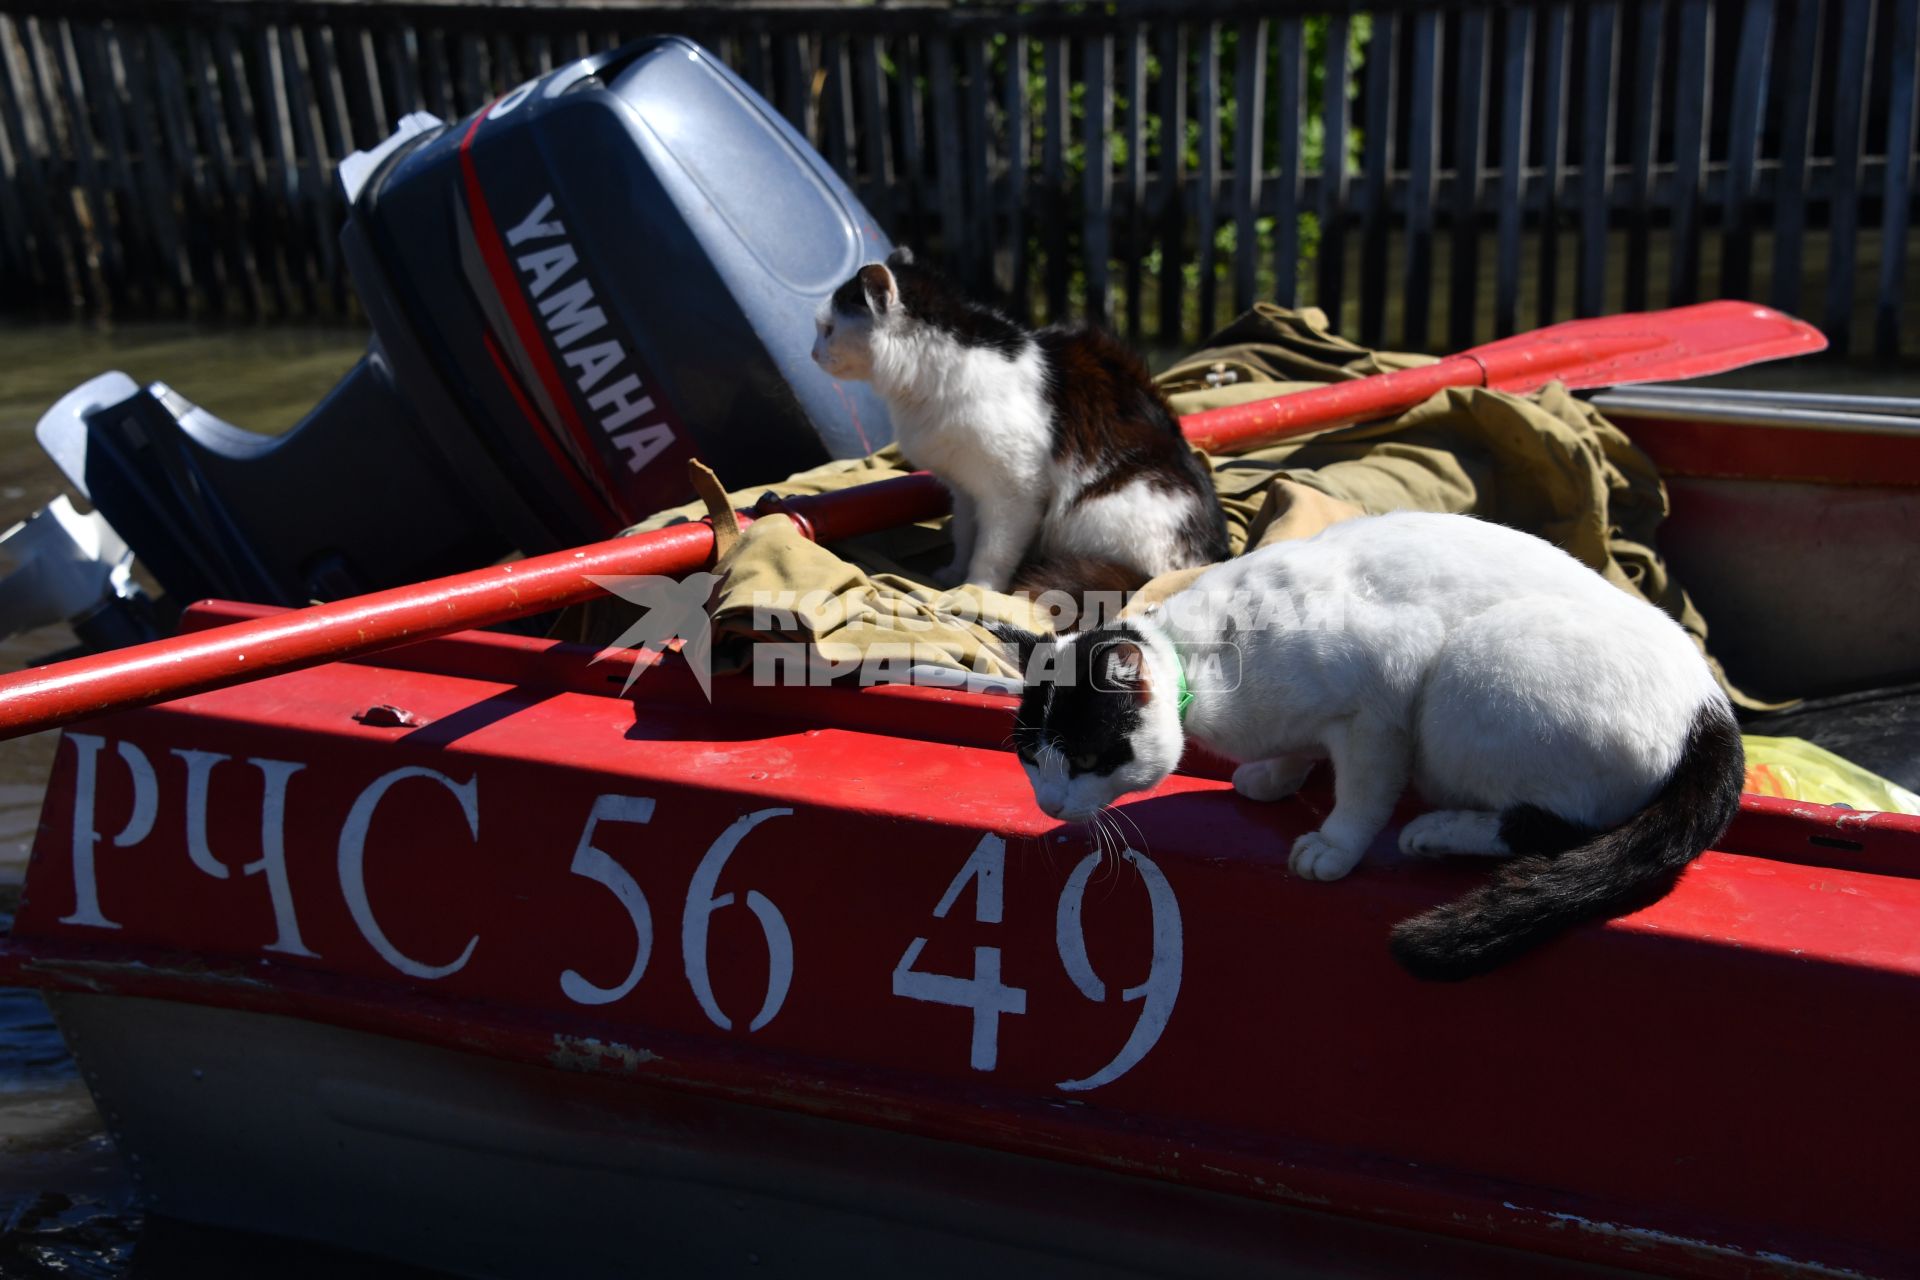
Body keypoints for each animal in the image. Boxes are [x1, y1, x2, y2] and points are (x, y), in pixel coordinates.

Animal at [810, 253, 1228, 598]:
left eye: (827, 329)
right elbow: (965, 536)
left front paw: (977, 589)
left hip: (1103, 509)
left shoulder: (1014, 492)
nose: (812, 354)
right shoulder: (964, 488)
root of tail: (1202, 565)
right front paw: (953, 575)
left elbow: (992, 551)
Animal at [998, 510, 1751, 982]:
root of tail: (1712, 709)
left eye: (1087, 761)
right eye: (1032, 761)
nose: (1050, 804)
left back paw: (1437, 832)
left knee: (1553, 828)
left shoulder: (1383, 696)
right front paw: (1275, 775)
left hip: (1469, 671)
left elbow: (1362, 790)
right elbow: (1298, 751)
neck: (1201, 660)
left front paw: (1334, 845)